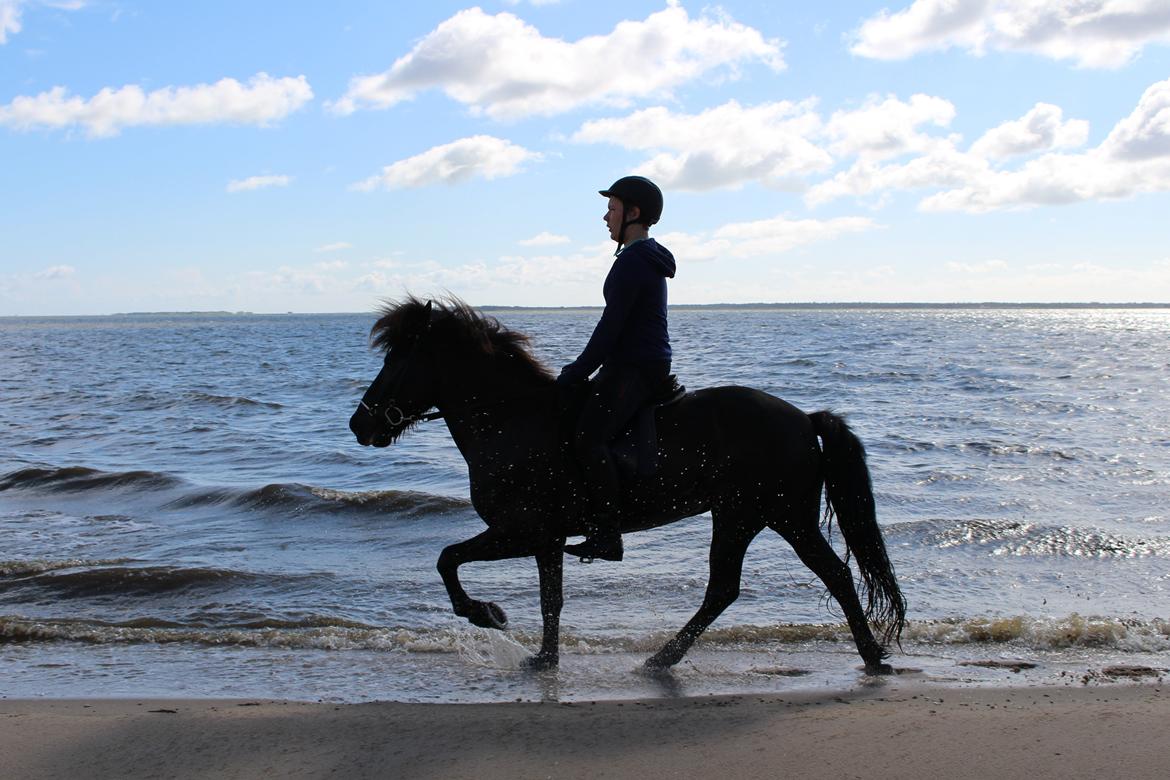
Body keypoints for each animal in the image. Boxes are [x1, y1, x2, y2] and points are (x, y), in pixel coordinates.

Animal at [343, 295, 903, 673]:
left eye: (397, 361)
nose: (359, 425)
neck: (512, 420)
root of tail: (805, 420)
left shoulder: (521, 531)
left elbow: (448, 558)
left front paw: (487, 615)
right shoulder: (546, 539)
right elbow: (549, 598)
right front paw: (544, 659)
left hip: (779, 515)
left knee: (831, 575)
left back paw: (872, 656)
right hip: (742, 516)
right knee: (726, 589)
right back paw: (664, 657)